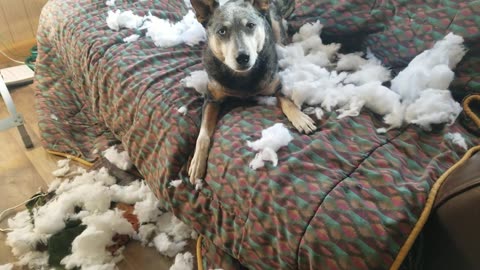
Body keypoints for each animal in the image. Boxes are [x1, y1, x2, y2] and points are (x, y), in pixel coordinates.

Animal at [189, 0, 316, 184]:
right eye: (222, 31)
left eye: (250, 25)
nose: (243, 57)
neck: (242, 78)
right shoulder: (211, 98)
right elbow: (203, 134)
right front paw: (197, 161)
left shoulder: (275, 83)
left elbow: (287, 101)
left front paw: (300, 118)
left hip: (276, 25)